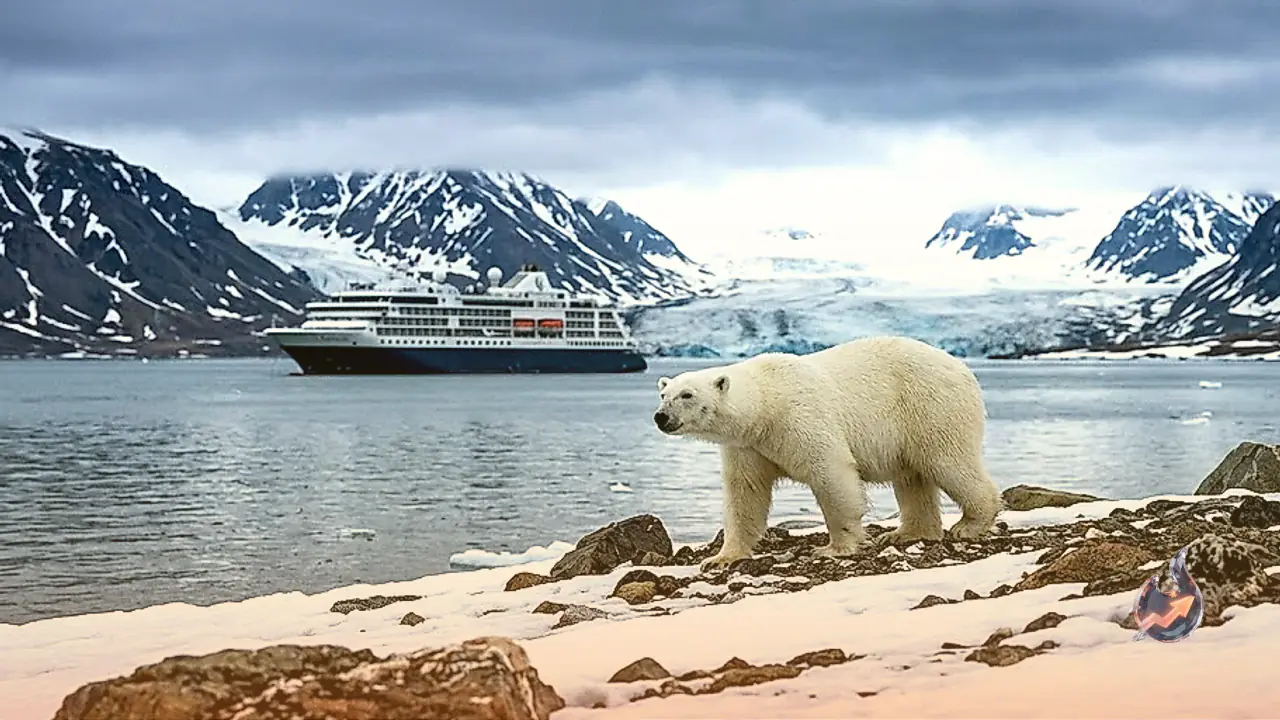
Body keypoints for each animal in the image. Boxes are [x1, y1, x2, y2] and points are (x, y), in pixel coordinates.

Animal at [652, 335, 1002, 571]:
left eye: (687, 395)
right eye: (664, 394)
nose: (661, 417)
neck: (765, 405)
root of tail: (962, 367)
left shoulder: (800, 418)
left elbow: (831, 473)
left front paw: (836, 548)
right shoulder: (748, 446)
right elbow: (745, 493)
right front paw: (721, 558)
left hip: (930, 407)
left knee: (948, 462)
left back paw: (970, 524)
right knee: (913, 478)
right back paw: (905, 534)